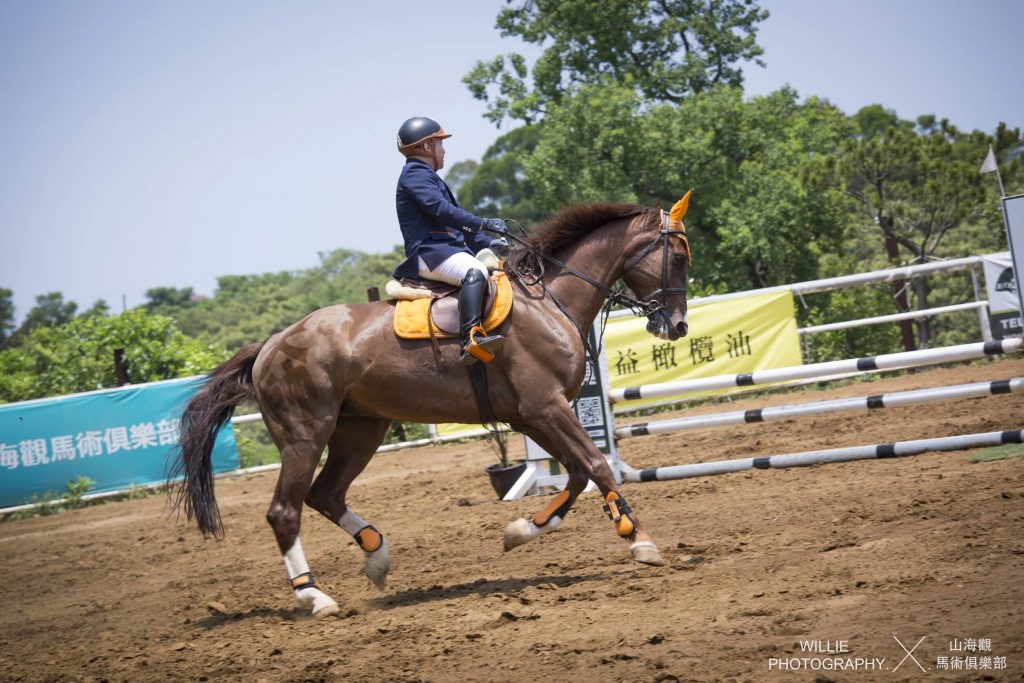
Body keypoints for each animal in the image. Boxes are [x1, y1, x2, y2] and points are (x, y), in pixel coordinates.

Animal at [172, 200, 692, 618]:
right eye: (680, 256)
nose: (677, 327)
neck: (548, 300)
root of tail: (271, 343)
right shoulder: (546, 408)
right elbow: (598, 465)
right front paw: (640, 540)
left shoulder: (531, 415)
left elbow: (579, 473)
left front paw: (521, 530)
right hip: (305, 436)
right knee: (285, 510)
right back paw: (314, 597)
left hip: (361, 430)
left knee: (326, 494)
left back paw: (376, 557)